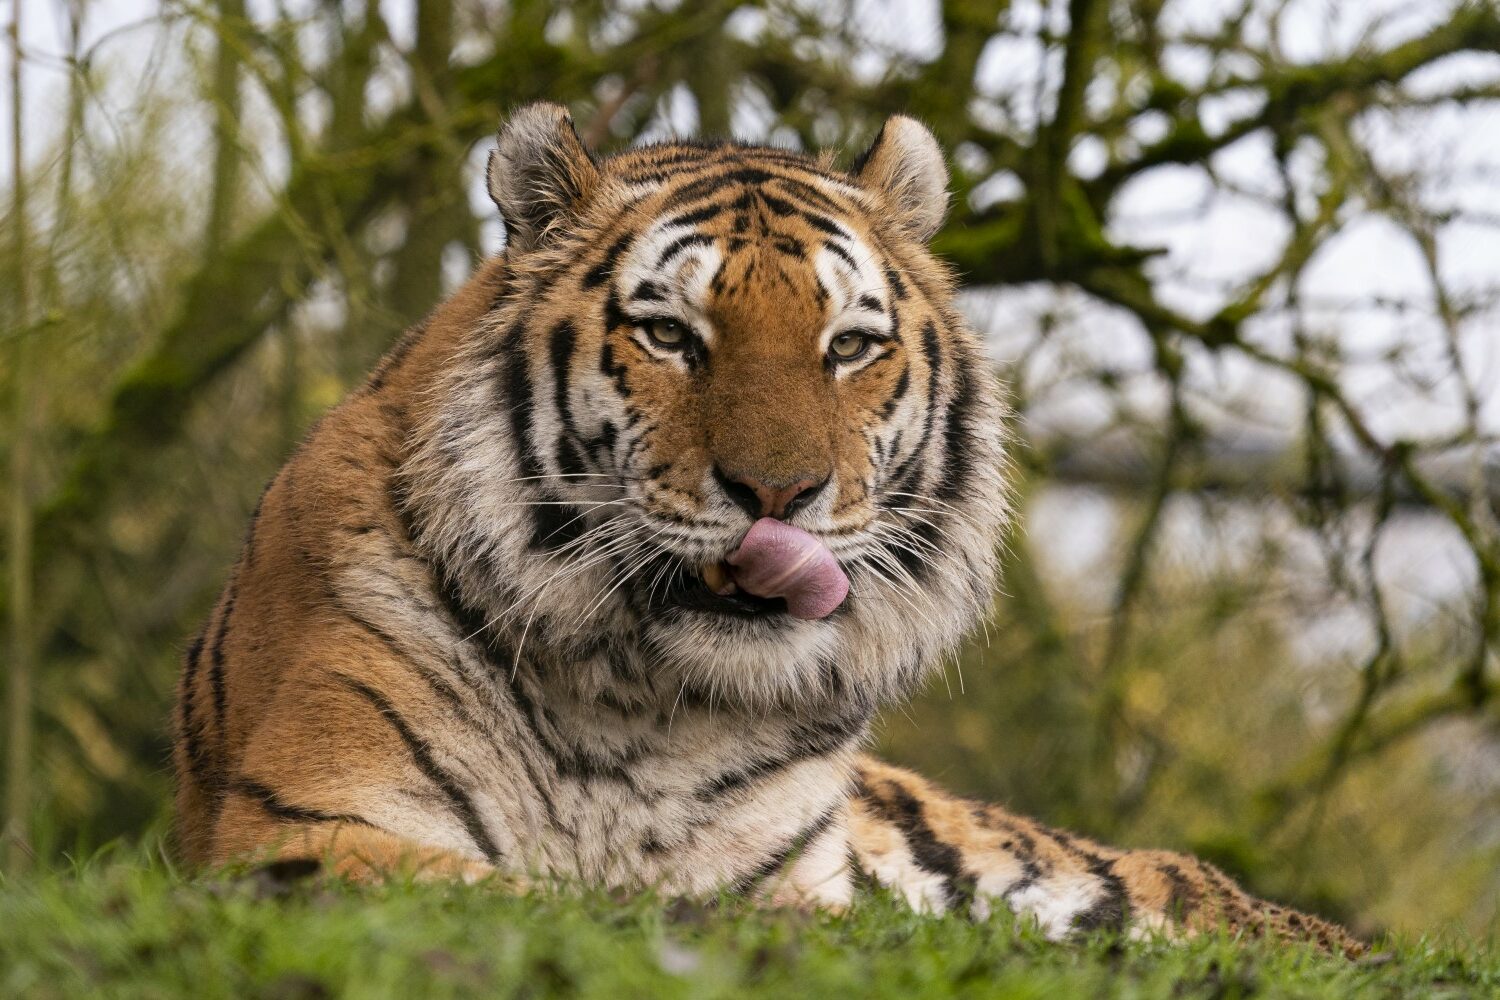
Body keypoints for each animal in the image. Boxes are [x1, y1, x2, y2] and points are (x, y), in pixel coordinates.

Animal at [170, 101, 1368, 953]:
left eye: (848, 346)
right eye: (668, 334)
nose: (780, 495)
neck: (642, 706)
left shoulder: (794, 873)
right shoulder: (306, 825)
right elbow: (547, 896)